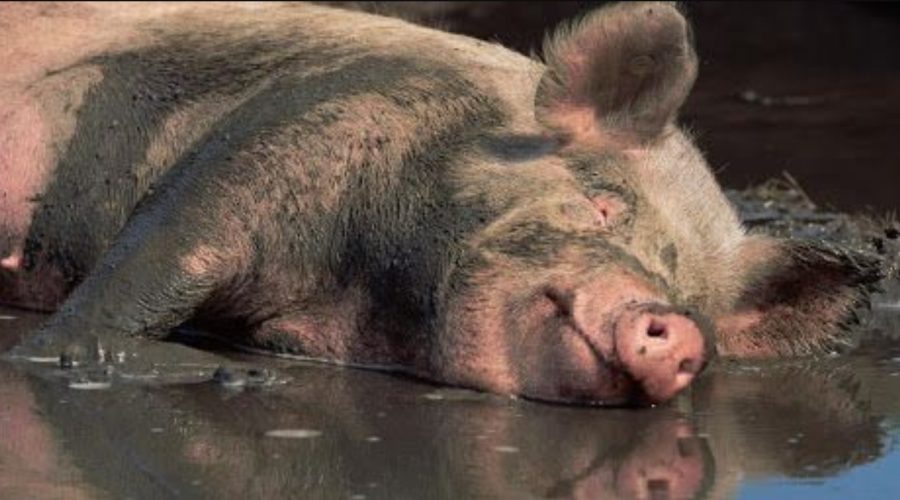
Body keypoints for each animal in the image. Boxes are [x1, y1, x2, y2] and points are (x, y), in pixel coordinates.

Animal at [0, 2, 880, 406]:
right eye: (601, 204)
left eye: (695, 294)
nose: (679, 324)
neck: (358, 301)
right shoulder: (281, 134)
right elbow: (145, 269)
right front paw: (238, 379)